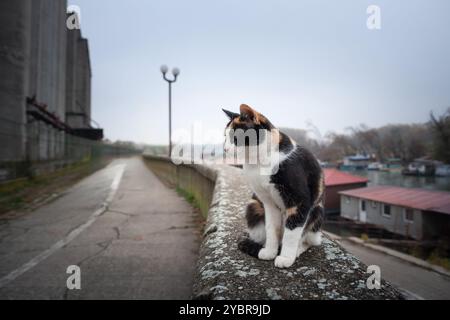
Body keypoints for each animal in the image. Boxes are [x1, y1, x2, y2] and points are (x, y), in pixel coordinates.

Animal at [223, 104, 326, 268]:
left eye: (235, 137)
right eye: (225, 137)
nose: (224, 149)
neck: (260, 161)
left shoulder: (299, 202)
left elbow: (292, 232)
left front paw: (286, 258)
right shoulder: (268, 203)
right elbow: (272, 229)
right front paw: (270, 252)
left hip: (317, 211)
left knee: (311, 240)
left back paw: (297, 249)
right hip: (253, 205)